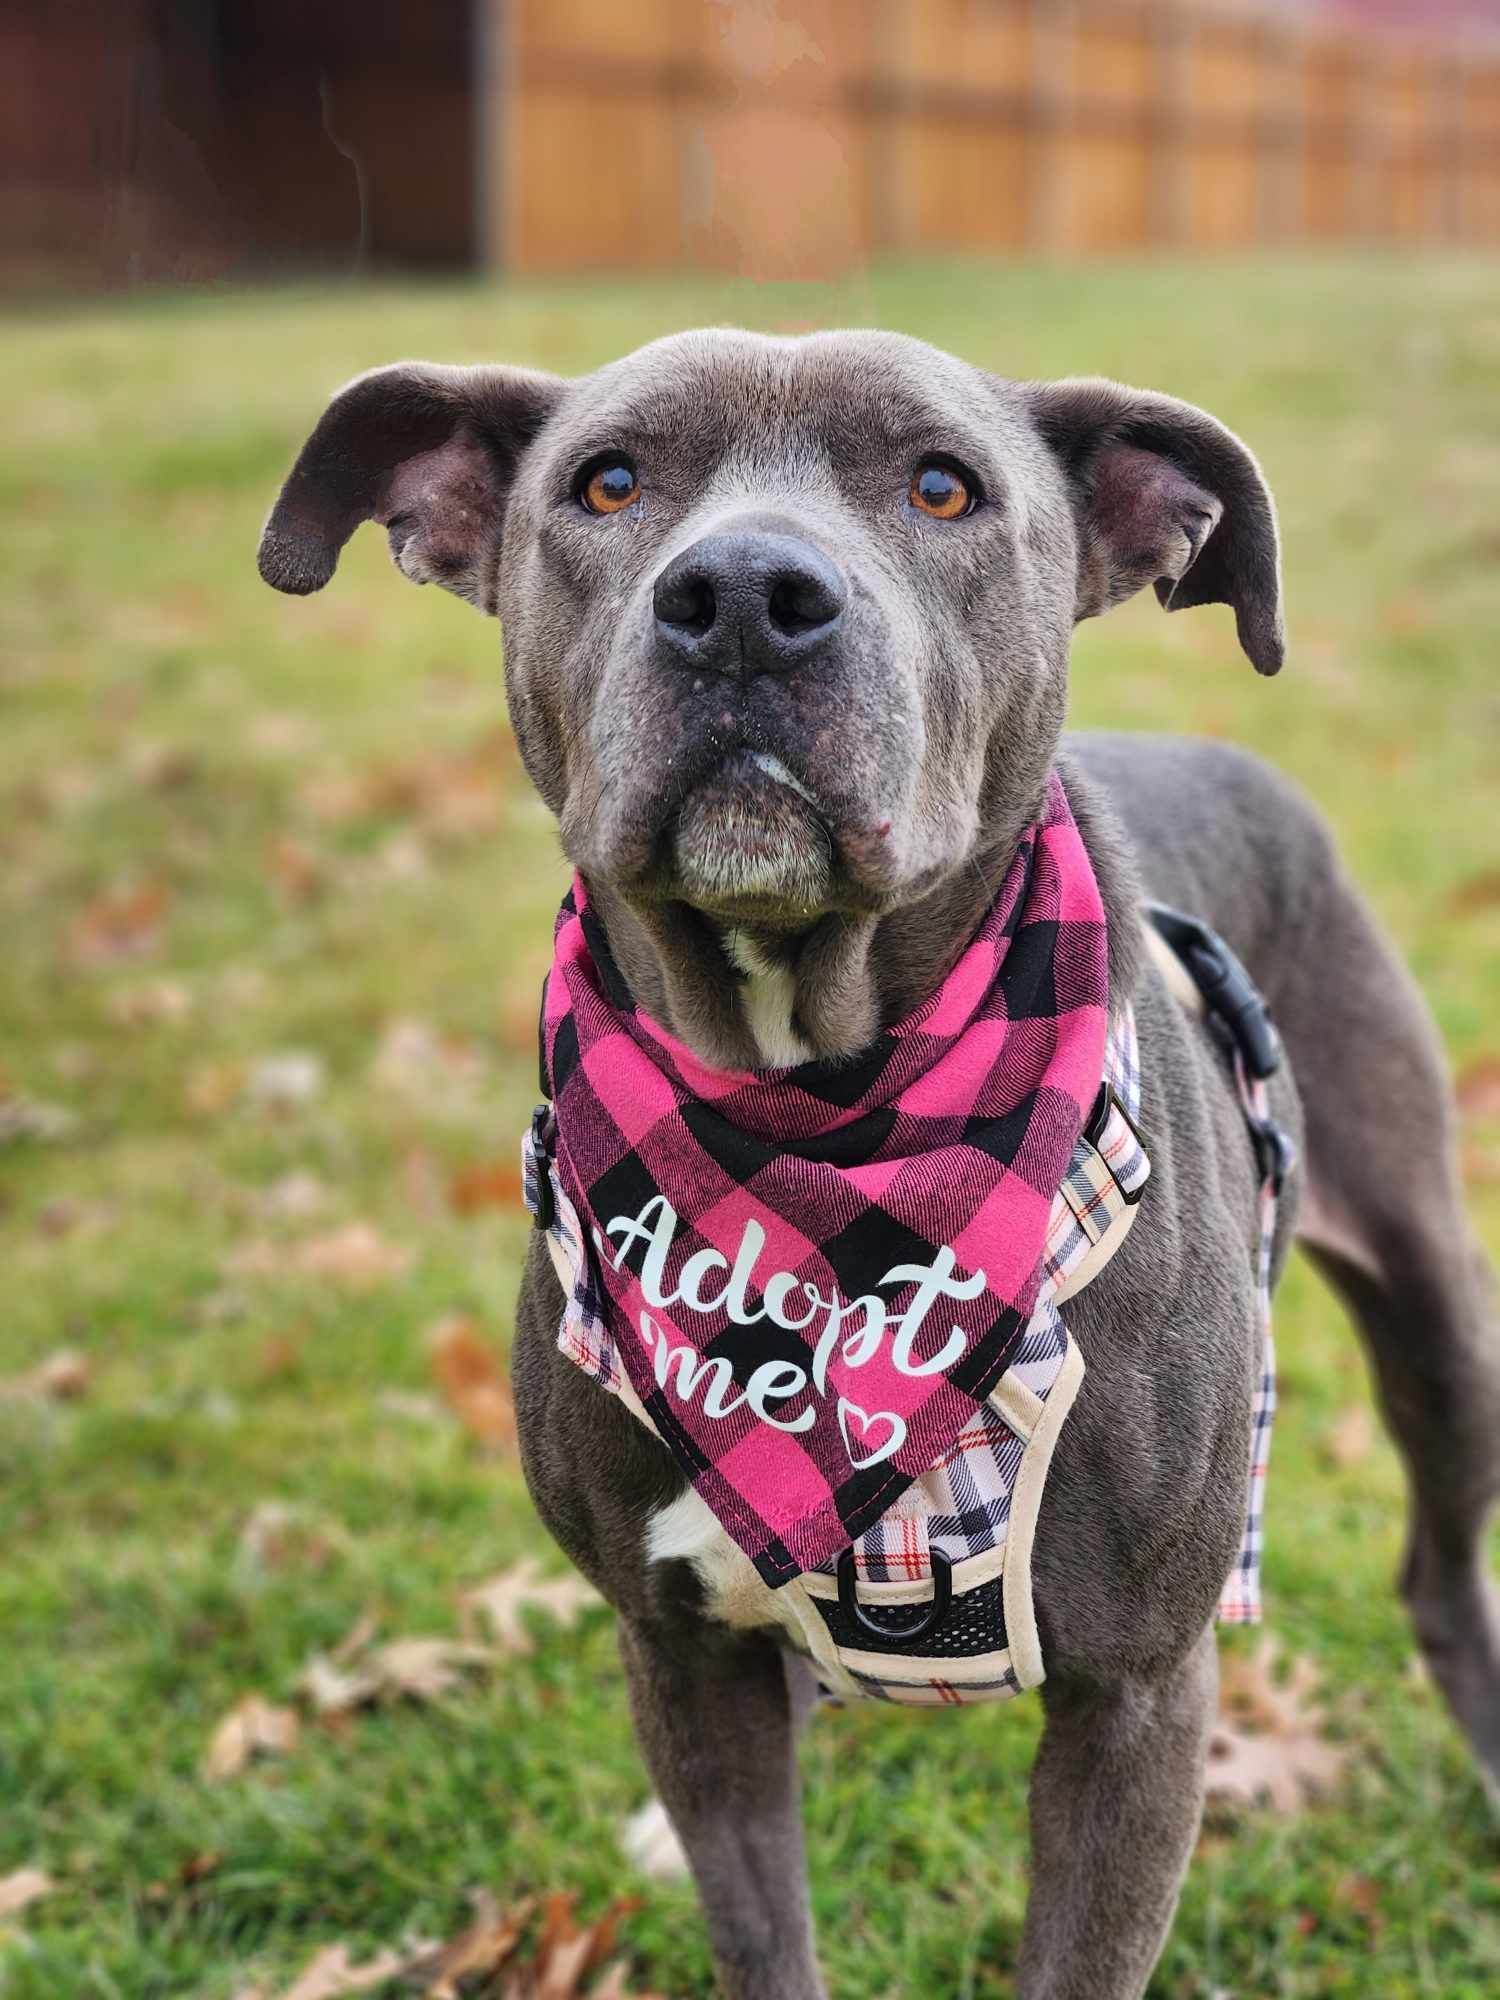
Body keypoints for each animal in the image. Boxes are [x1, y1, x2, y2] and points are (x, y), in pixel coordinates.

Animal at [258, 332, 1500, 2000]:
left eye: (942, 487)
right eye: (609, 482)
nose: (741, 595)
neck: (822, 1121)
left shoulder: (1139, 1699)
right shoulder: (681, 1659)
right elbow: (760, 1919)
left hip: (1439, 1312)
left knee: (1436, 1566)